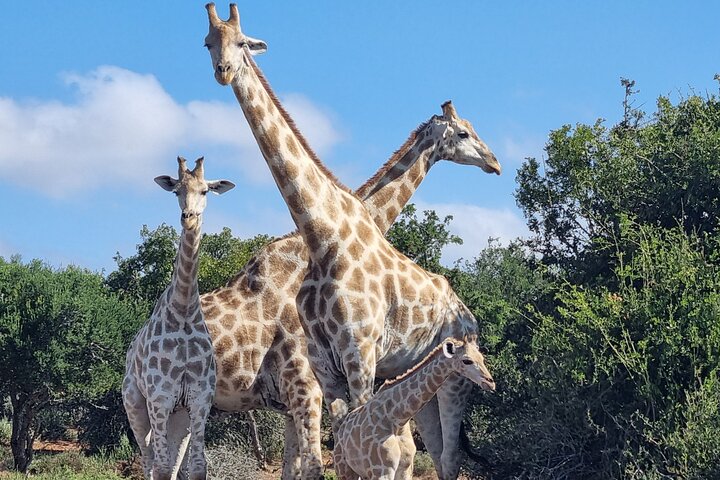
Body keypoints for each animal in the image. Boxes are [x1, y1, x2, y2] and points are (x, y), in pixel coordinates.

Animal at [122, 157, 235, 480]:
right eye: (176, 191)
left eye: (205, 191)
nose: (189, 217)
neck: (183, 309)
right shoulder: (159, 397)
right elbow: (159, 468)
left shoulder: (199, 400)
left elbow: (196, 467)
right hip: (136, 404)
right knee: (149, 460)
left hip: (179, 417)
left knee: (169, 462)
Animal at [333, 338, 495, 480]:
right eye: (466, 361)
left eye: (482, 358)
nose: (490, 382)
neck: (397, 417)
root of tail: (341, 432)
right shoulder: (381, 470)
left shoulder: (406, 468)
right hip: (344, 468)